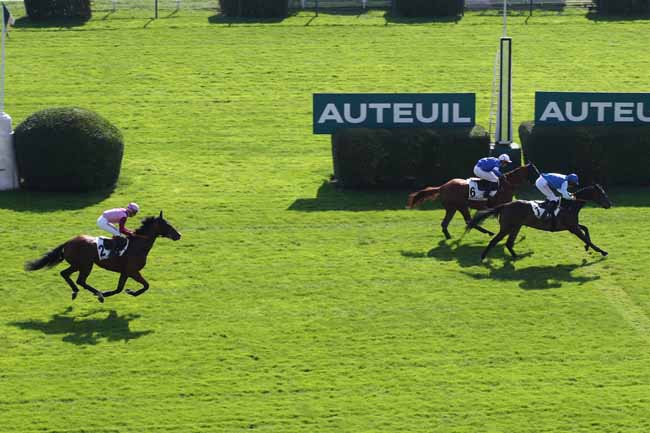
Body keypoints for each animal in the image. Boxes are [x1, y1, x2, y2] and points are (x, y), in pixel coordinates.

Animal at [25, 212, 181, 300]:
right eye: (167, 225)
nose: (178, 235)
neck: (138, 244)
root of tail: (68, 242)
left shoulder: (125, 272)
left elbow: (119, 288)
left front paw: (125, 291)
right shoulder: (133, 271)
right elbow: (146, 285)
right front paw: (129, 292)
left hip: (77, 264)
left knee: (65, 274)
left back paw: (76, 292)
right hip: (85, 265)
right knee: (80, 280)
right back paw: (98, 294)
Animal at [404, 163, 532, 238]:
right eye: (534, 170)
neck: (507, 184)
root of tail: (442, 187)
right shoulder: (501, 206)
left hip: (453, 208)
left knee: (447, 223)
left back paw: (448, 236)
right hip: (461, 206)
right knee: (469, 221)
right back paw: (488, 232)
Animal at [466, 185, 612, 260]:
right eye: (602, 194)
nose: (609, 204)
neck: (570, 204)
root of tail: (505, 205)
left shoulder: (572, 225)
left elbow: (586, 229)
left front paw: (587, 247)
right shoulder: (573, 227)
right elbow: (587, 238)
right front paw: (602, 251)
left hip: (516, 227)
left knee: (509, 243)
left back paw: (516, 256)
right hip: (507, 227)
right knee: (495, 241)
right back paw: (483, 257)